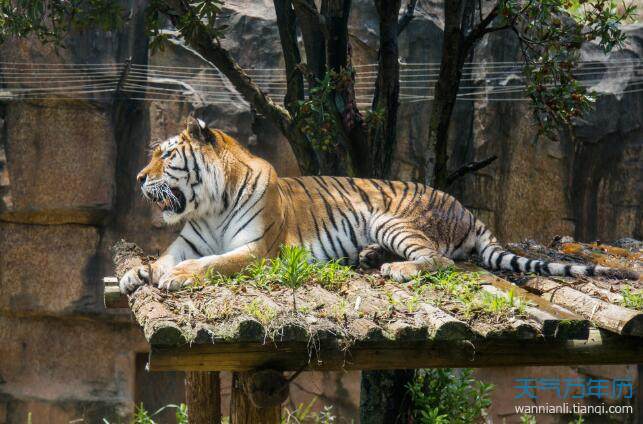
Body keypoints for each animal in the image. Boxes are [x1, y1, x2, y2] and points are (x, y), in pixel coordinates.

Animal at [119, 117, 640, 294]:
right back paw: (370, 257)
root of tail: (467, 211)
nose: (138, 177)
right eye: (152, 155)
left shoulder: (259, 251)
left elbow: (215, 263)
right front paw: (135, 274)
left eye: (165, 155)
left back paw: (395, 268)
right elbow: (163, 256)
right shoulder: (187, 241)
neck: (208, 205)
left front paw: (177, 277)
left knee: (440, 261)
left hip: (393, 218)